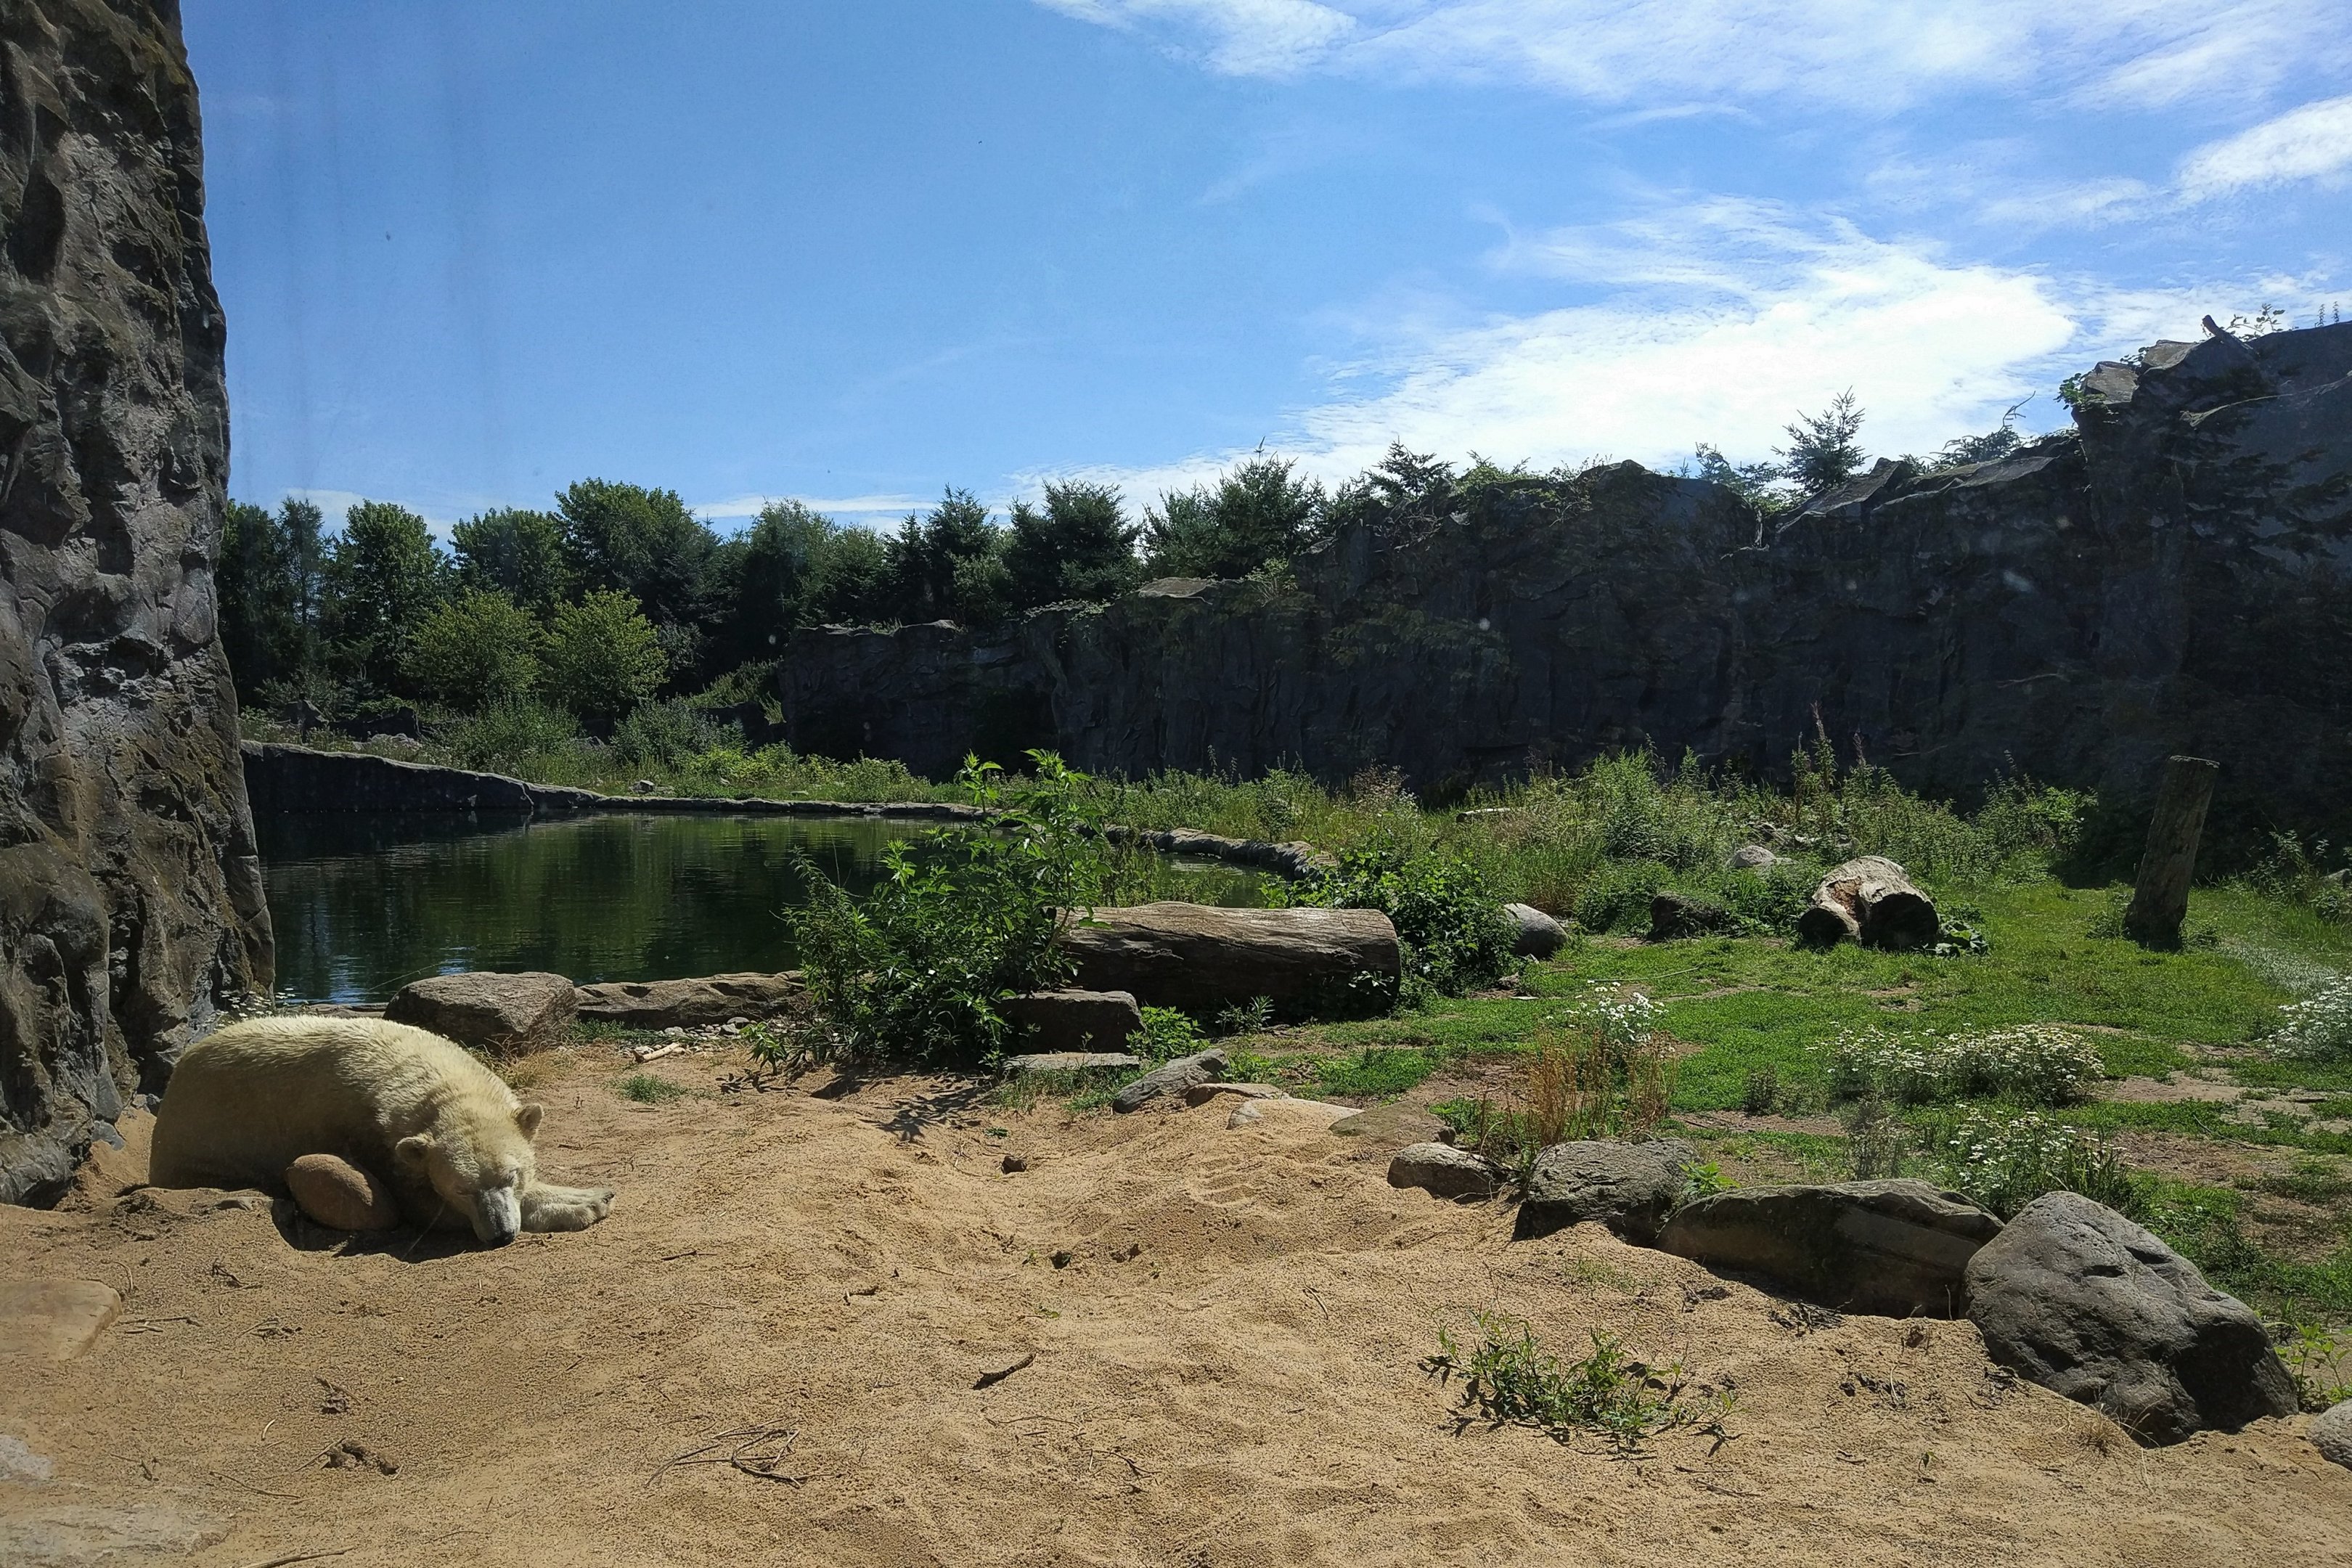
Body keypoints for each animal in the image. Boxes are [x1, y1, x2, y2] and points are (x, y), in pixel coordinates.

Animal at [149, 1015, 613, 1245]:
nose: (500, 1234)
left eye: (511, 1176)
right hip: (204, 1141)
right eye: (461, 1189)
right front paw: (587, 1201)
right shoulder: (374, 1140)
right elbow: (423, 1208)